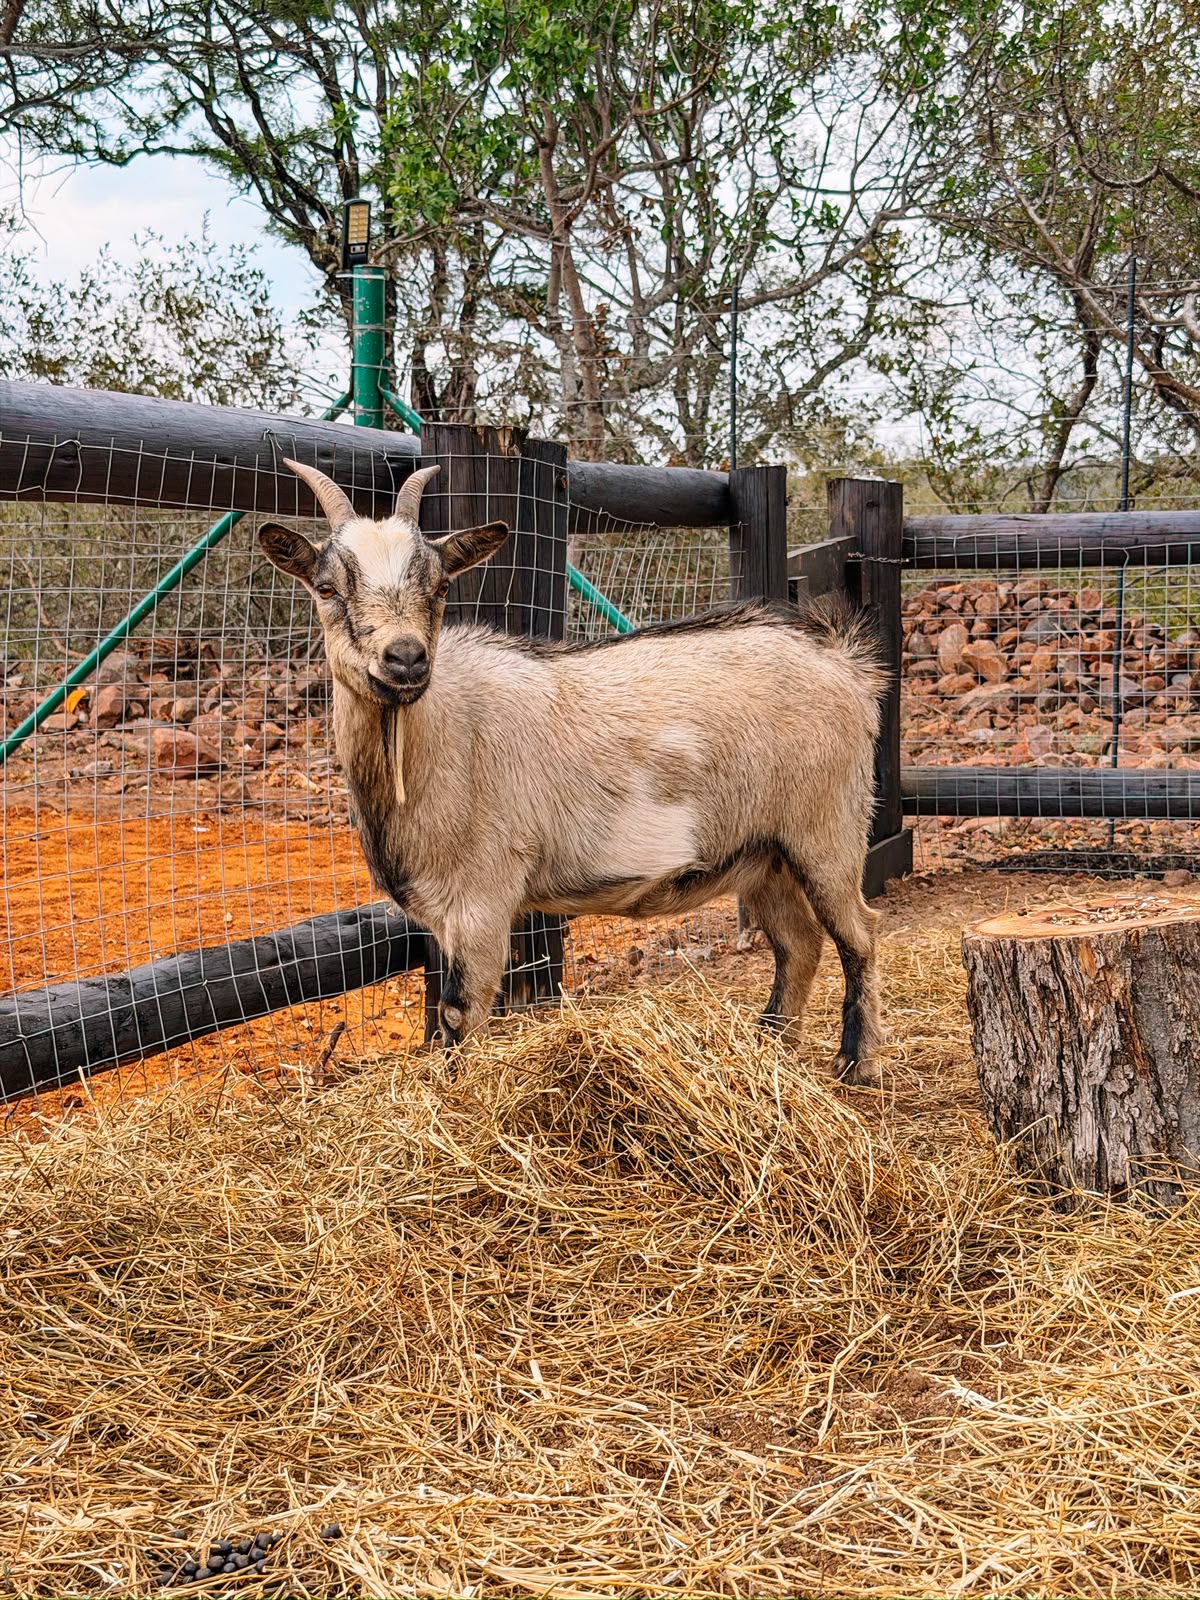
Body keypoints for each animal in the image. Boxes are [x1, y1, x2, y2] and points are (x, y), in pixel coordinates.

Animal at [258, 460, 886, 1084]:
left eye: (439, 588)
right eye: (326, 587)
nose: (406, 659)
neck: (437, 738)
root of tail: (845, 666)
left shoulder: (483, 896)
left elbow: (459, 1012)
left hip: (826, 829)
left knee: (858, 932)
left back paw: (853, 1060)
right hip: (765, 853)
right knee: (800, 943)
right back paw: (769, 1045)